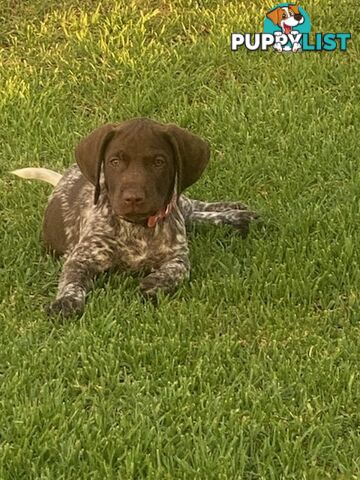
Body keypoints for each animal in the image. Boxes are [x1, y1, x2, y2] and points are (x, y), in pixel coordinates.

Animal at [12, 118, 258, 316]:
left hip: (178, 201)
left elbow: (177, 271)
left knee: (193, 206)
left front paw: (155, 282)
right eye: (115, 161)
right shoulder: (82, 258)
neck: (138, 228)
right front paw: (66, 302)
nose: (133, 198)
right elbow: (72, 281)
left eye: (159, 162)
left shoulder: (178, 257)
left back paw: (237, 214)